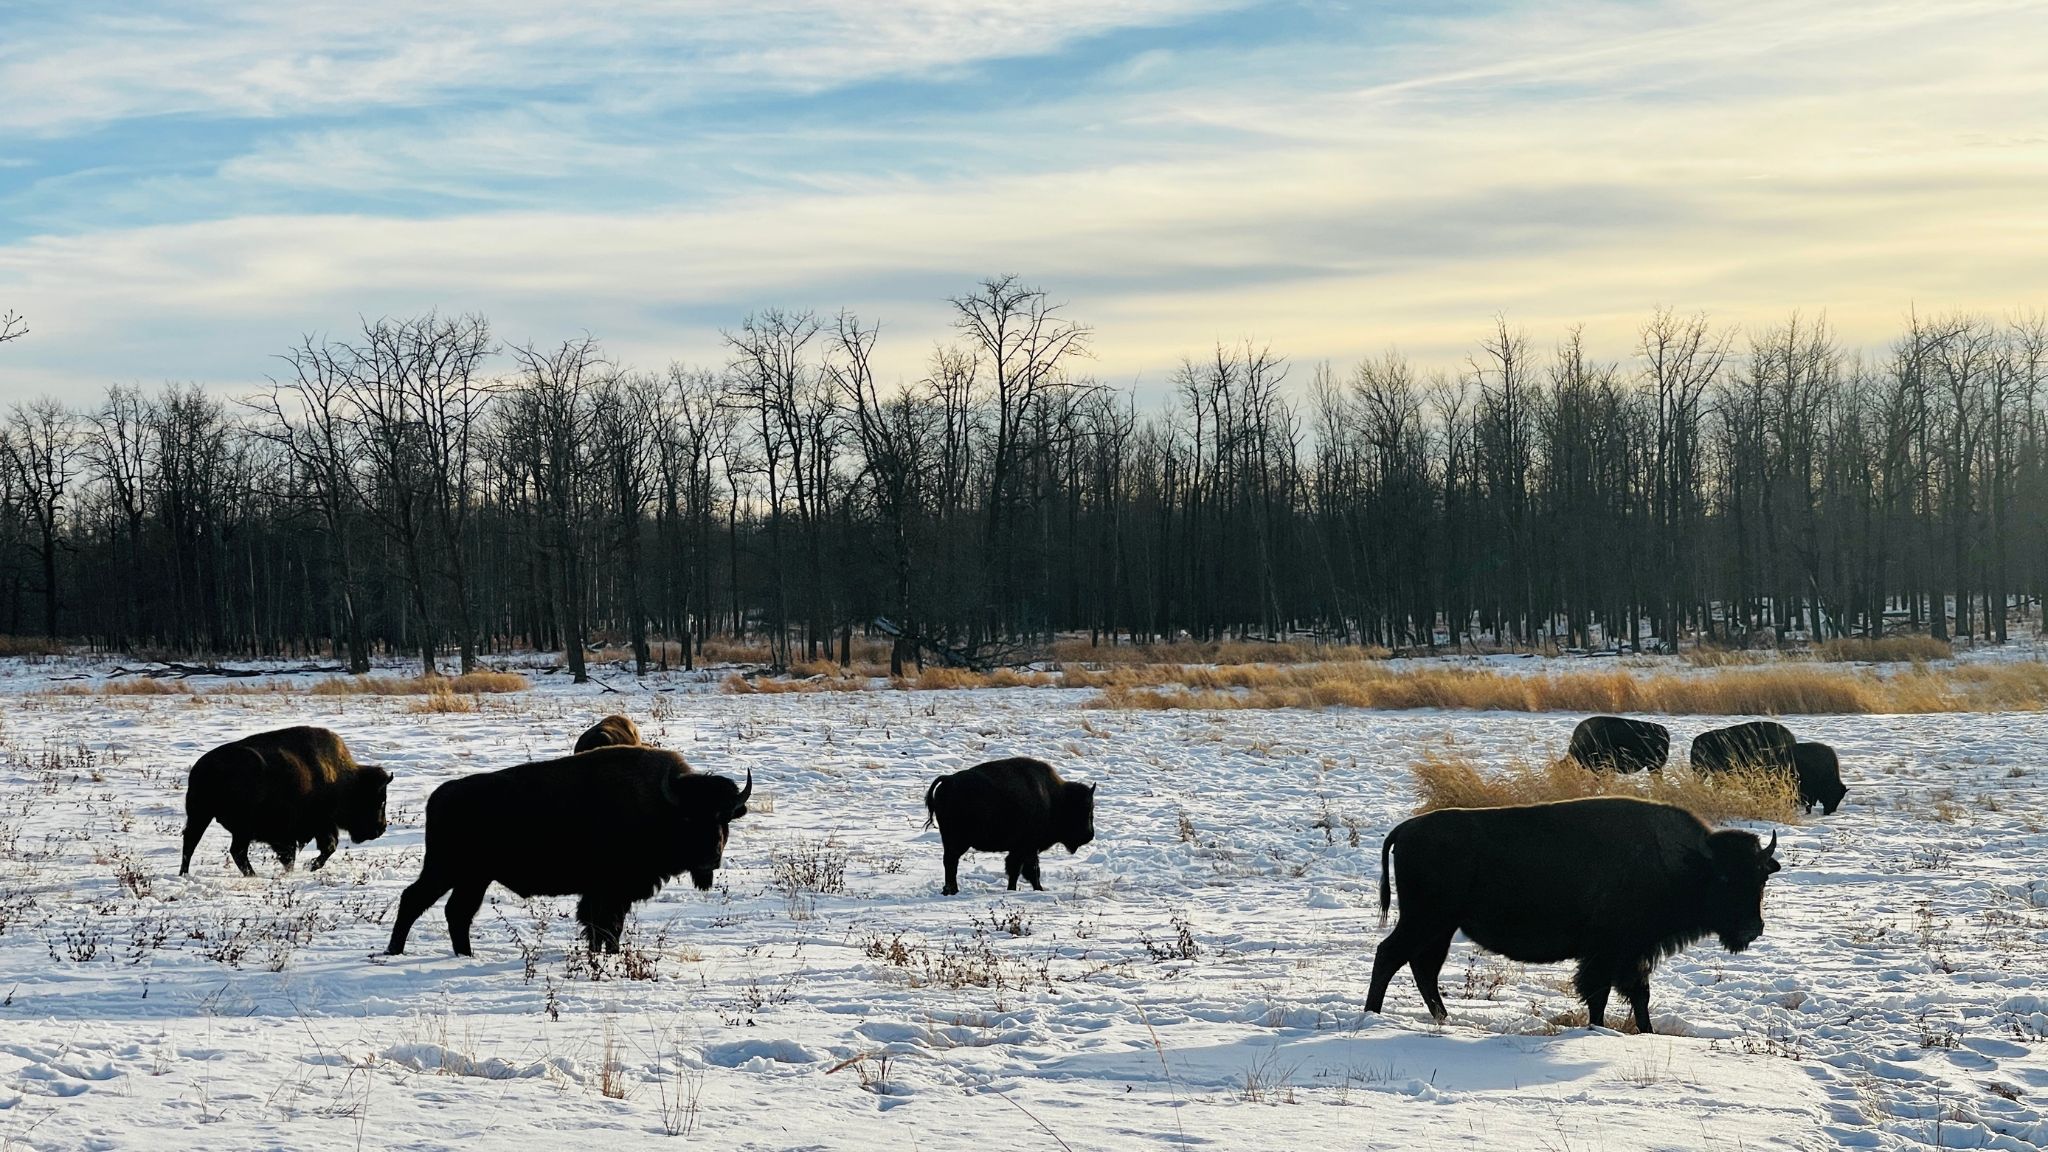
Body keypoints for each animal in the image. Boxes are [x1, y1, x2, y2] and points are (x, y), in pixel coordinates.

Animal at [184, 721, 395, 873]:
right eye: (380, 801)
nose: (381, 828)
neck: (341, 778)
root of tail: (202, 768)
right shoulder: (317, 824)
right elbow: (327, 847)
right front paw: (309, 867)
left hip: (202, 816)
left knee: (191, 844)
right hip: (236, 826)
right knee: (233, 850)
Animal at [385, 737, 753, 955]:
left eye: (725, 818)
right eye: (689, 819)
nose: (710, 858)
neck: (662, 805)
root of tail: (439, 795)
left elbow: (606, 925)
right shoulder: (608, 890)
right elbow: (603, 924)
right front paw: (606, 954)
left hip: (473, 878)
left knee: (456, 912)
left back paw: (464, 955)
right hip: (447, 870)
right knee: (415, 899)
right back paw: (395, 951)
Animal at [925, 758, 1097, 893]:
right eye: (1084, 809)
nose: (1089, 835)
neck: (1055, 798)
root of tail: (948, 780)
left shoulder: (1021, 849)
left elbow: (1017, 870)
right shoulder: (1027, 848)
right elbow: (1029, 870)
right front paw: (1037, 889)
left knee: (949, 862)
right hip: (958, 841)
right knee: (951, 862)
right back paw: (952, 890)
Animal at [1368, 799, 1785, 1033]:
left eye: (1761, 875)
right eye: (1725, 878)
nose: (1752, 928)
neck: (1686, 862)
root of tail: (1407, 828)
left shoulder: (1631, 955)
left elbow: (1637, 994)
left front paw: (1645, 1031)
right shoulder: (1610, 953)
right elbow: (1602, 994)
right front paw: (1601, 1030)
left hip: (1441, 927)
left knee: (1423, 968)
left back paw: (1443, 1019)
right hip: (1426, 920)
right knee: (1390, 956)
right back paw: (1374, 1014)